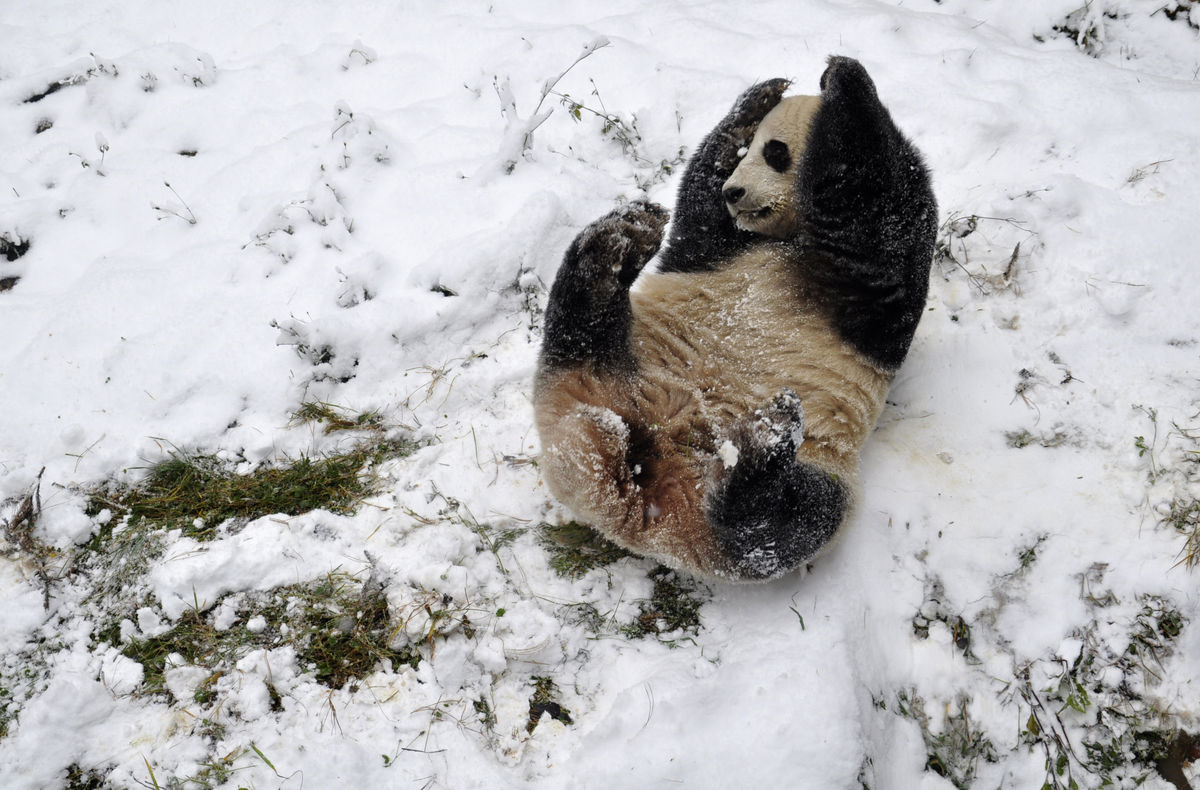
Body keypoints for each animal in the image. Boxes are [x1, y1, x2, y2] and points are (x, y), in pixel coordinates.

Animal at [533, 56, 937, 582]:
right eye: (752, 150)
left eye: (775, 152)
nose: (736, 191)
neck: (784, 239)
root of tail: (631, 492)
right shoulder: (718, 249)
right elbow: (701, 197)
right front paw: (760, 98)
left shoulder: (873, 286)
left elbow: (880, 208)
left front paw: (842, 80)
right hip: (619, 363)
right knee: (579, 328)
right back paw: (616, 242)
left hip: (824, 465)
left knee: (784, 524)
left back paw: (763, 444)